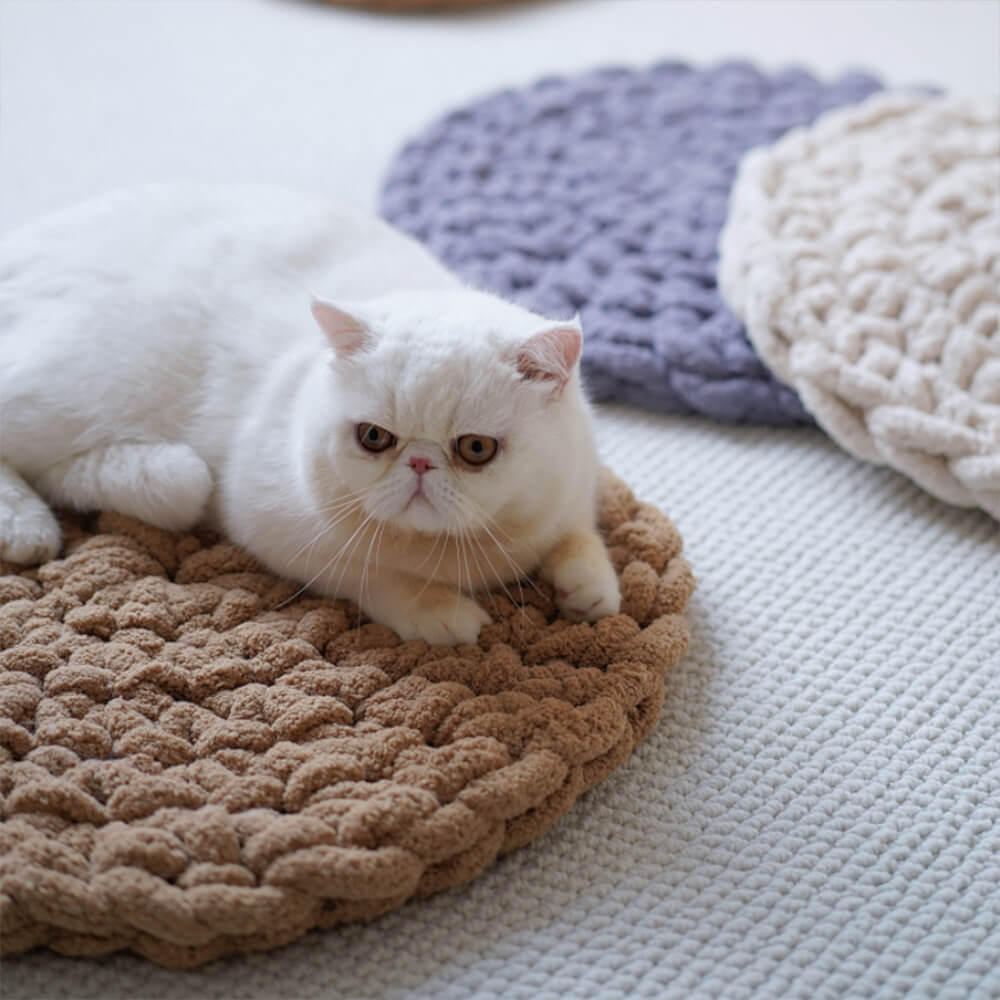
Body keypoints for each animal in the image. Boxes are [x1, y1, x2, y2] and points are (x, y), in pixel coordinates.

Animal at [0, 184, 620, 644]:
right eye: (374, 438)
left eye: (475, 448)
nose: (420, 464)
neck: (451, 550)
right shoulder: (274, 527)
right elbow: (377, 575)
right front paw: (441, 612)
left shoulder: (575, 489)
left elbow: (579, 536)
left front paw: (591, 588)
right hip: (75, 388)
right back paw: (27, 530)